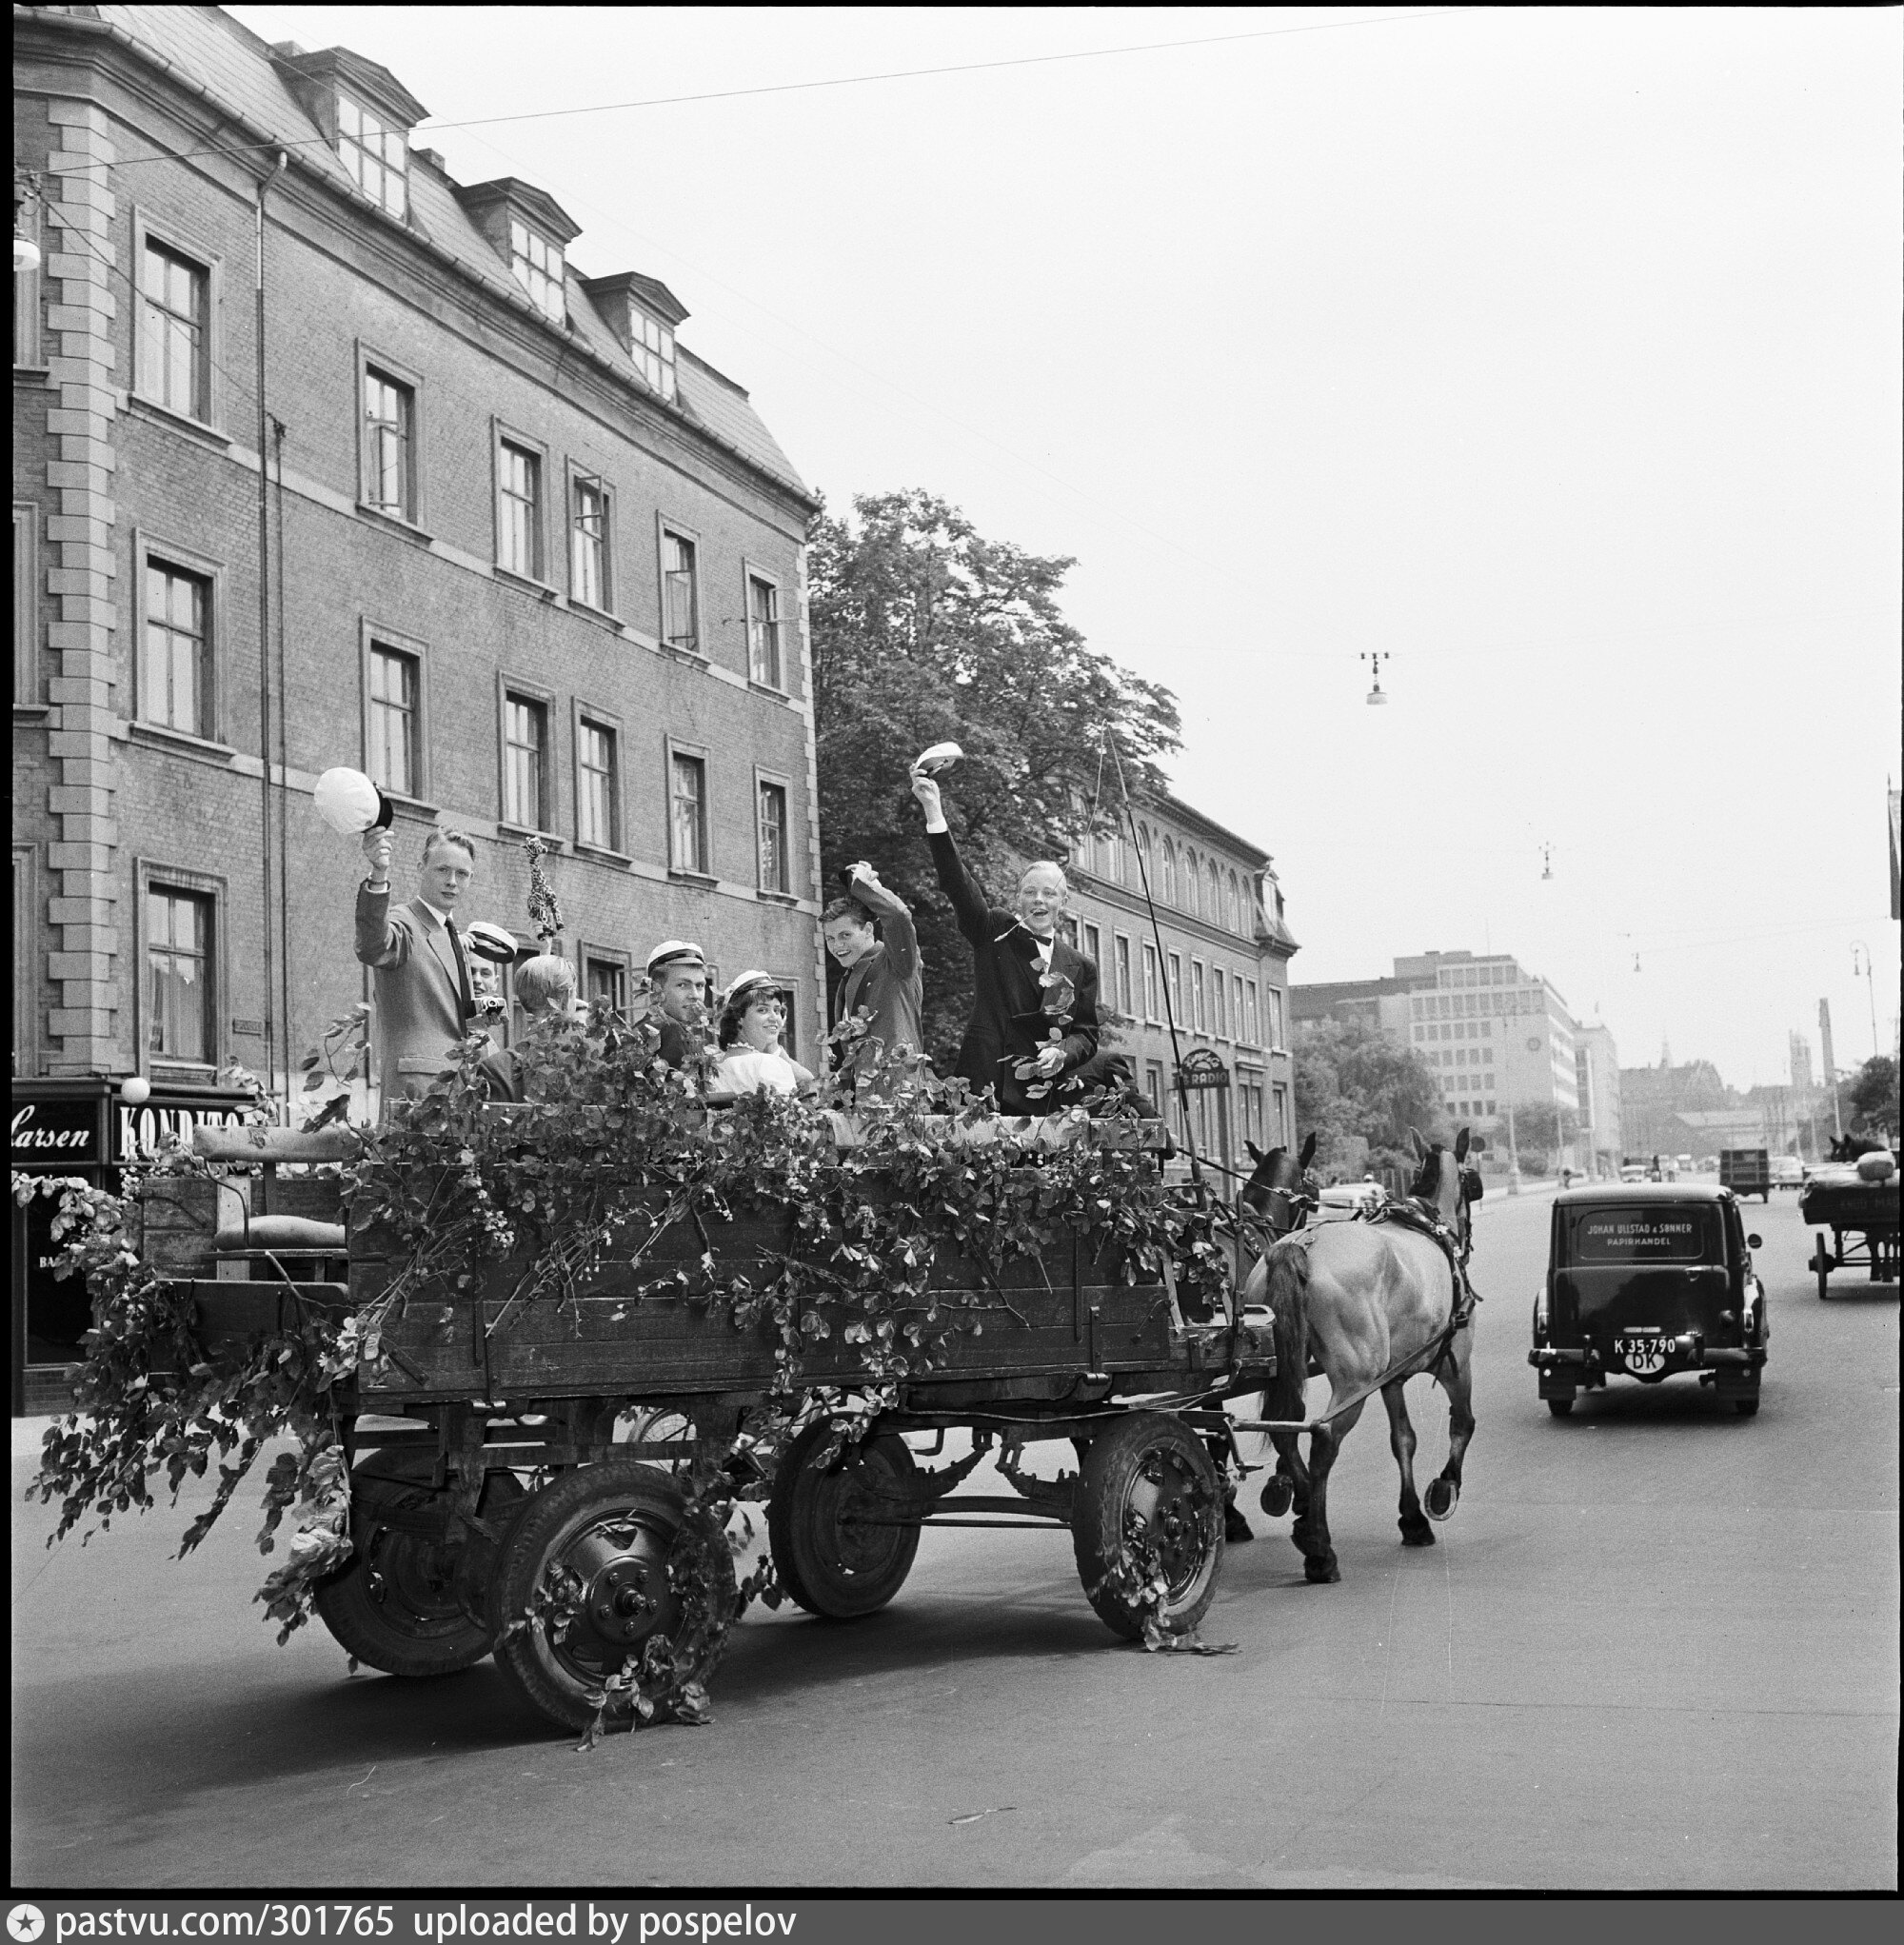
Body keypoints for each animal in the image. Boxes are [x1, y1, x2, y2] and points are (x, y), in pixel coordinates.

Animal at [1242, 1127, 1481, 1585]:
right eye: (1471, 1182)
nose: (1467, 1236)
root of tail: (1303, 1244)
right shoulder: (1455, 1360)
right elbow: (1463, 1423)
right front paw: (1444, 1490)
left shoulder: (1393, 1376)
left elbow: (1403, 1439)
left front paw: (1412, 1519)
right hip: (1357, 1377)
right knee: (1323, 1438)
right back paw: (1319, 1547)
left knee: (1286, 1425)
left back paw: (1300, 1503)